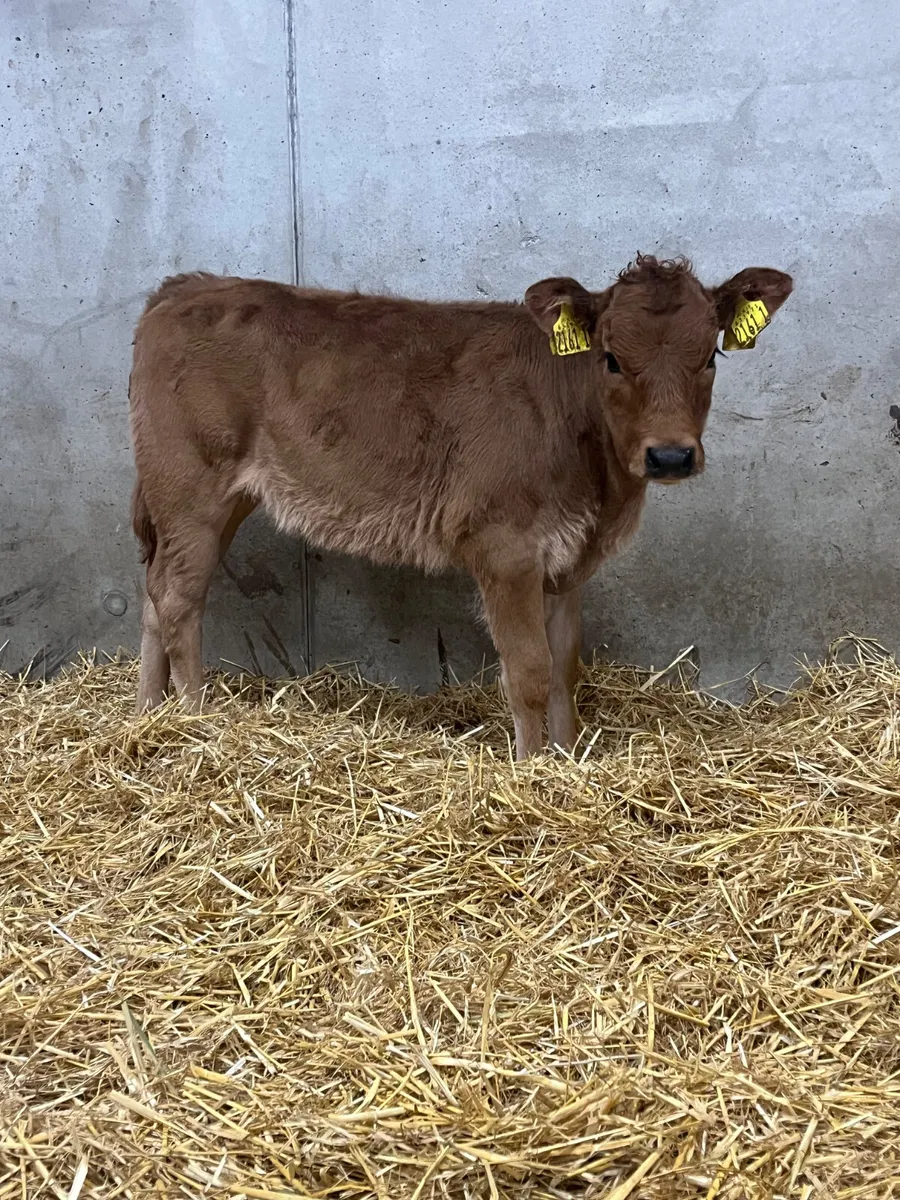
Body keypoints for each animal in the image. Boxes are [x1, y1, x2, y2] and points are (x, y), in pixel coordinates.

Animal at [129, 255, 792, 759]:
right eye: (610, 358)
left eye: (710, 357)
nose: (670, 456)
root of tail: (187, 285)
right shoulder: (504, 546)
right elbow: (529, 671)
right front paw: (532, 772)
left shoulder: (565, 556)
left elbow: (565, 667)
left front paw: (568, 759)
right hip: (192, 487)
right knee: (178, 598)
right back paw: (195, 720)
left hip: (213, 499)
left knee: (155, 593)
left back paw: (148, 715)